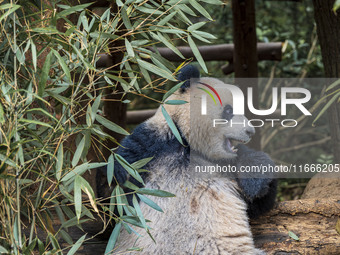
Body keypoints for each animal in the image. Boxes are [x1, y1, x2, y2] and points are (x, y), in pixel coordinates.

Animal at [97, 65, 278, 253]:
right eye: (229, 110)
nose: (250, 131)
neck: (189, 143)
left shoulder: (225, 164)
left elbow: (257, 202)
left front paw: (254, 182)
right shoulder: (151, 143)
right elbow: (112, 203)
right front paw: (116, 176)